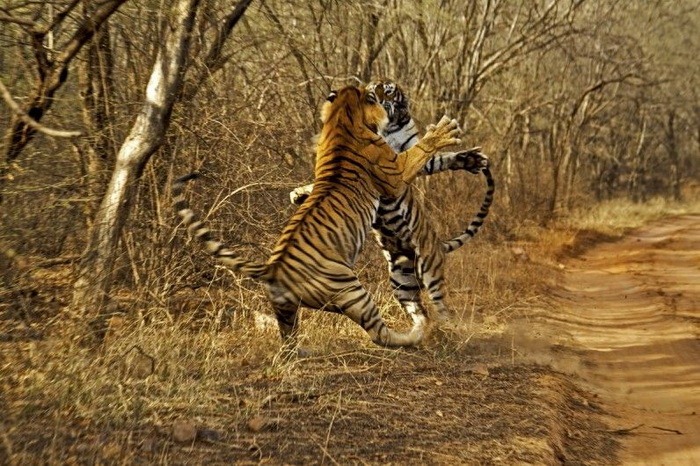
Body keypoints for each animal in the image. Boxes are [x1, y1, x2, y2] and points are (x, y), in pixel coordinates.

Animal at [173, 85, 462, 352]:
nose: (379, 88)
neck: (342, 118)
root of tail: (272, 269)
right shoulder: (395, 174)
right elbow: (418, 152)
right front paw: (442, 132)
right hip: (352, 291)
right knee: (379, 333)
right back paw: (414, 334)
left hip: (287, 311)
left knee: (288, 343)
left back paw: (303, 351)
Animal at [289, 80, 494, 326]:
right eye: (372, 89)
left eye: (387, 91)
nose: (376, 95)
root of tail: (438, 243)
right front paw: (299, 193)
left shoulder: (398, 162)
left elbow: (428, 154)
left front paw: (462, 151)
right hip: (401, 281)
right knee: (419, 311)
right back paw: (421, 332)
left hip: (430, 271)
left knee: (441, 306)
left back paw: (448, 328)